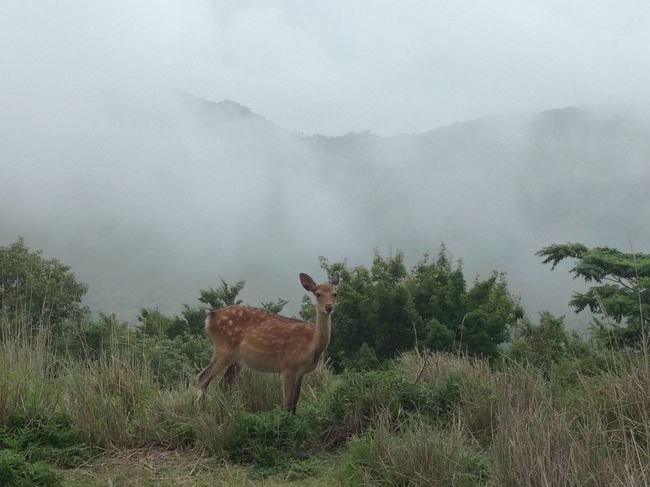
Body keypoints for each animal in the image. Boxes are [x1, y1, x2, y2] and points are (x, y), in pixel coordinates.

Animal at [195, 272, 340, 414]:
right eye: (318, 294)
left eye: (335, 293)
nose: (329, 307)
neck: (312, 345)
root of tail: (208, 319)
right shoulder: (288, 365)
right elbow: (287, 402)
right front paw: (286, 420)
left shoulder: (301, 371)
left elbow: (295, 401)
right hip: (223, 350)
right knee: (203, 377)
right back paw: (200, 412)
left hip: (237, 361)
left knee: (224, 385)